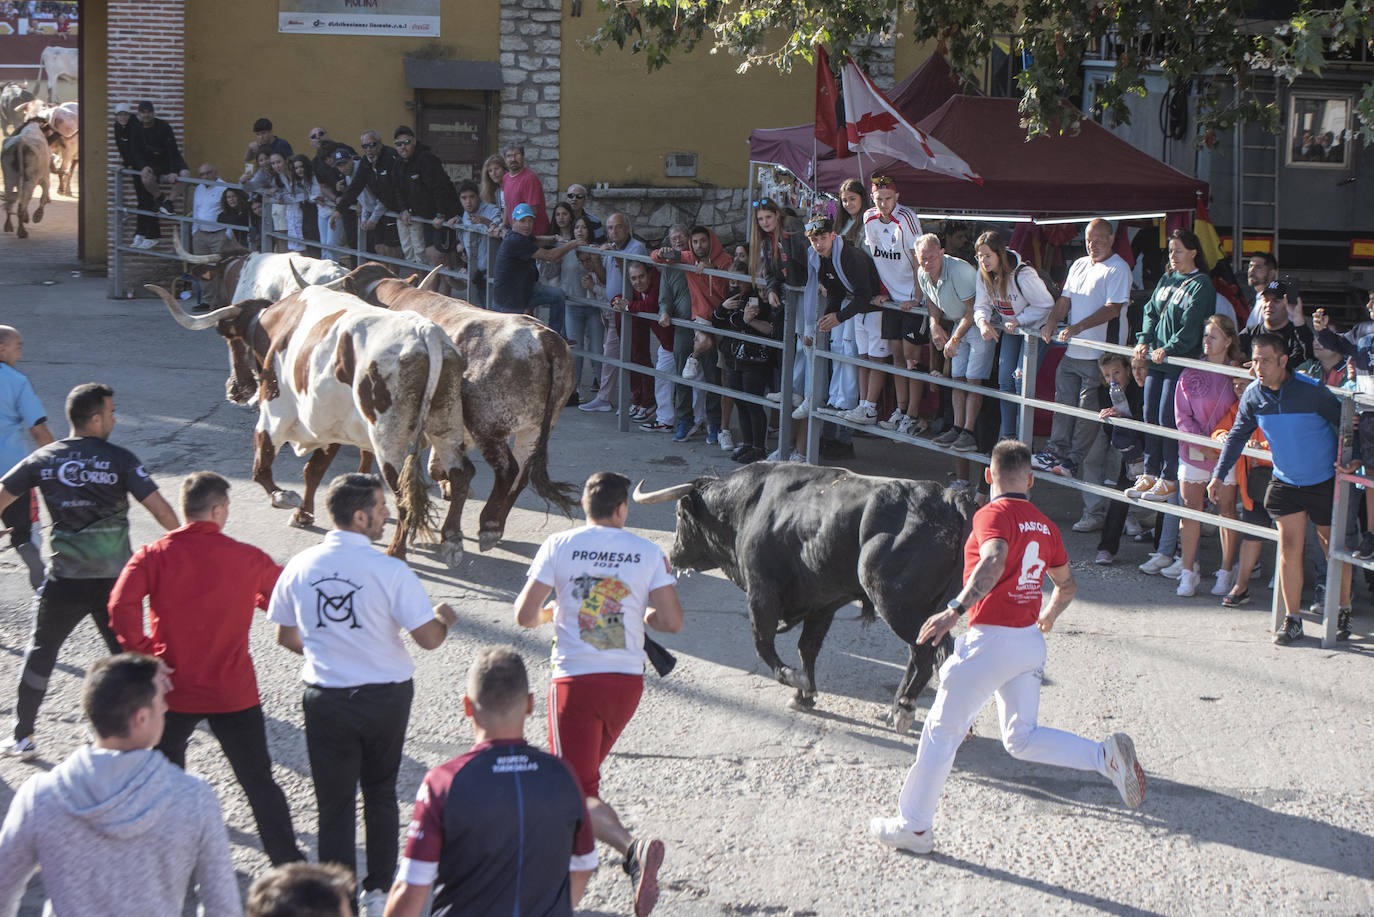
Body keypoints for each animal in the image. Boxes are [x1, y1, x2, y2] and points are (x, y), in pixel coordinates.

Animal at [634, 461, 978, 736]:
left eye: (680, 514)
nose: (673, 555)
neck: (748, 506)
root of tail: (948, 498)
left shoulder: (762, 592)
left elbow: (763, 643)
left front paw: (795, 681)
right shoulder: (823, 602)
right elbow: (807, 647)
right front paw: (805, 696)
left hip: (896, 605)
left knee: (922, 653)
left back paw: (903, 710)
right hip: (927, 610)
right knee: (934, 653)